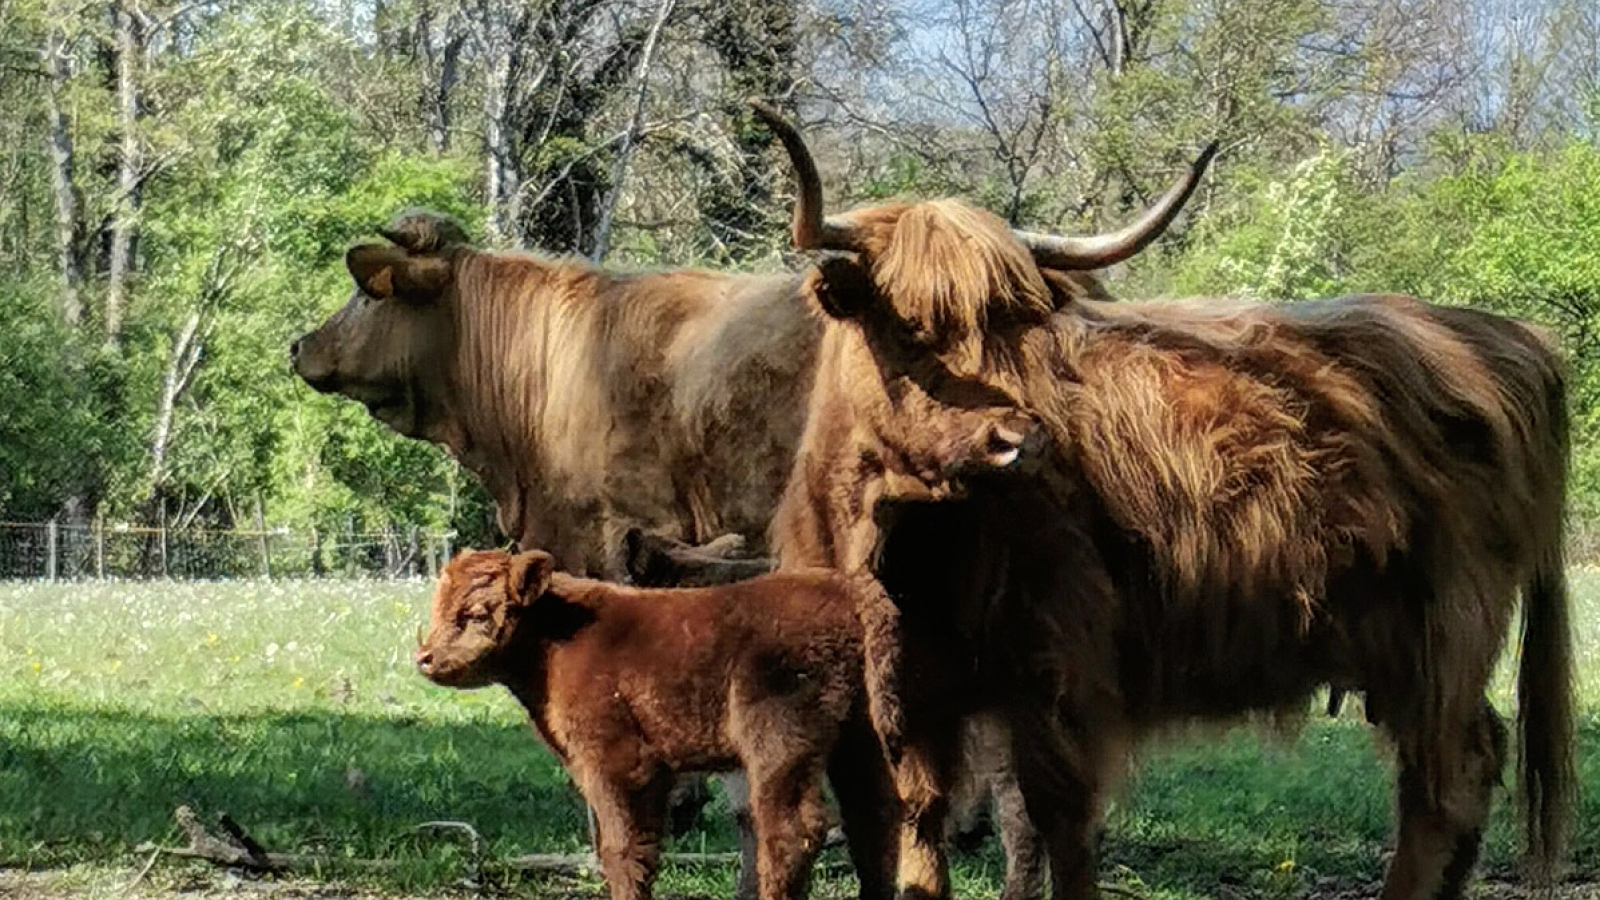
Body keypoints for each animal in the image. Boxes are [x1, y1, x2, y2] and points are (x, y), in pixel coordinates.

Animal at [748, 98, 1574, 896]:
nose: (1023, 440)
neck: (902, 536)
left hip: (1446, 632)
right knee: (1468, 766)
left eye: (1019, 326)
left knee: (1448, 779)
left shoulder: (1059, 664)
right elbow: (922, 824)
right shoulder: (913, 697)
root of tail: (1503, 336)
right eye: (913, 328)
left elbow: (1059, 822)